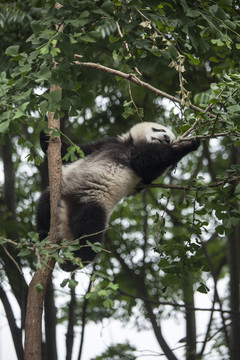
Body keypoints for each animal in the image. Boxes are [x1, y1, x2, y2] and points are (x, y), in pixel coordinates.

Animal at [36, 122, 200, 272]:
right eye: (159, 129)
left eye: (171, 140)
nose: (166, 139)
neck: (130, 144)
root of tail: (66, 215)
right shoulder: (107, 144)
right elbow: (74, 152)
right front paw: (46, 137)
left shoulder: (139, 172)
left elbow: (148, 163)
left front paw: (188, 145)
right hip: (61, 192)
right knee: (44, 205)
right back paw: (43, 235)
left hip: (93, 200)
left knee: (90, 228)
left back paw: (75, 261)